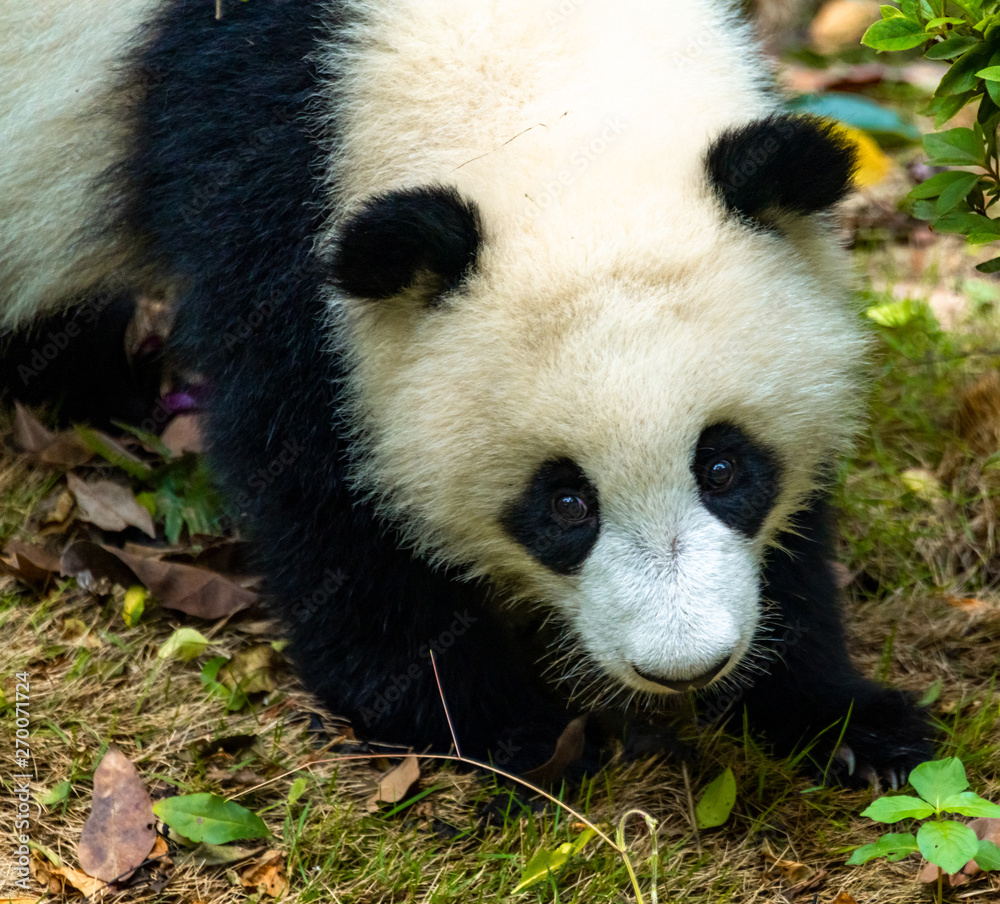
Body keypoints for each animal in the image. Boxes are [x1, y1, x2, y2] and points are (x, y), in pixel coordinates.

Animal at [1, 0, 931, 783]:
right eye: (565, 502)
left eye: (725, 468)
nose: (684, 664)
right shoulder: (261, 180)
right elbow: (317, 483)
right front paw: (500, 727)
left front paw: (845, 720)